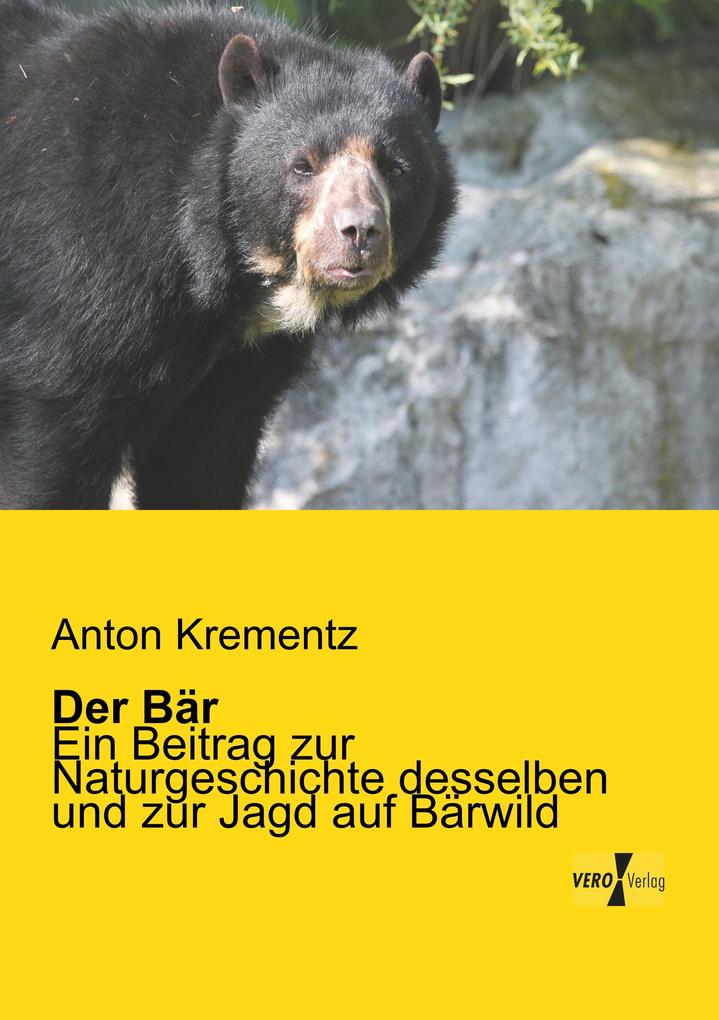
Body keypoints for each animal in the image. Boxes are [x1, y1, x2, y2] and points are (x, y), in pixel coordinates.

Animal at [0, 0, 457, 509]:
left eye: (396, 169)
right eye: (302, 165)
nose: (359, 231)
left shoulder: (236, 372)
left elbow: (198, 468)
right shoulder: (72, 284)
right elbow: (50, 456)